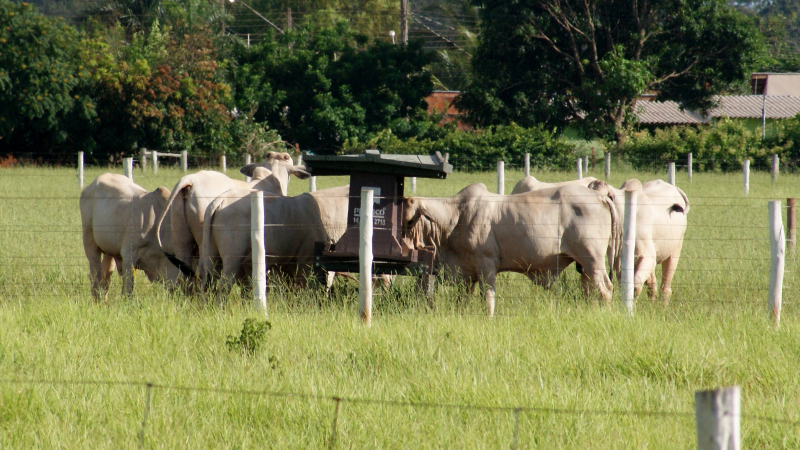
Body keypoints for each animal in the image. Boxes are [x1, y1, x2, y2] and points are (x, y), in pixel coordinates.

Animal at [406, 183, 620, 316]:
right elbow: (463, 299)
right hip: (584, 264)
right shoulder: (467, 272)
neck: (456, 217)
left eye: (408, 220)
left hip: (593, 259)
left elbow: (488, 297)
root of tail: (600, 196)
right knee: (590, 288)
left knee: (605, 289)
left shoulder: (486, 264)